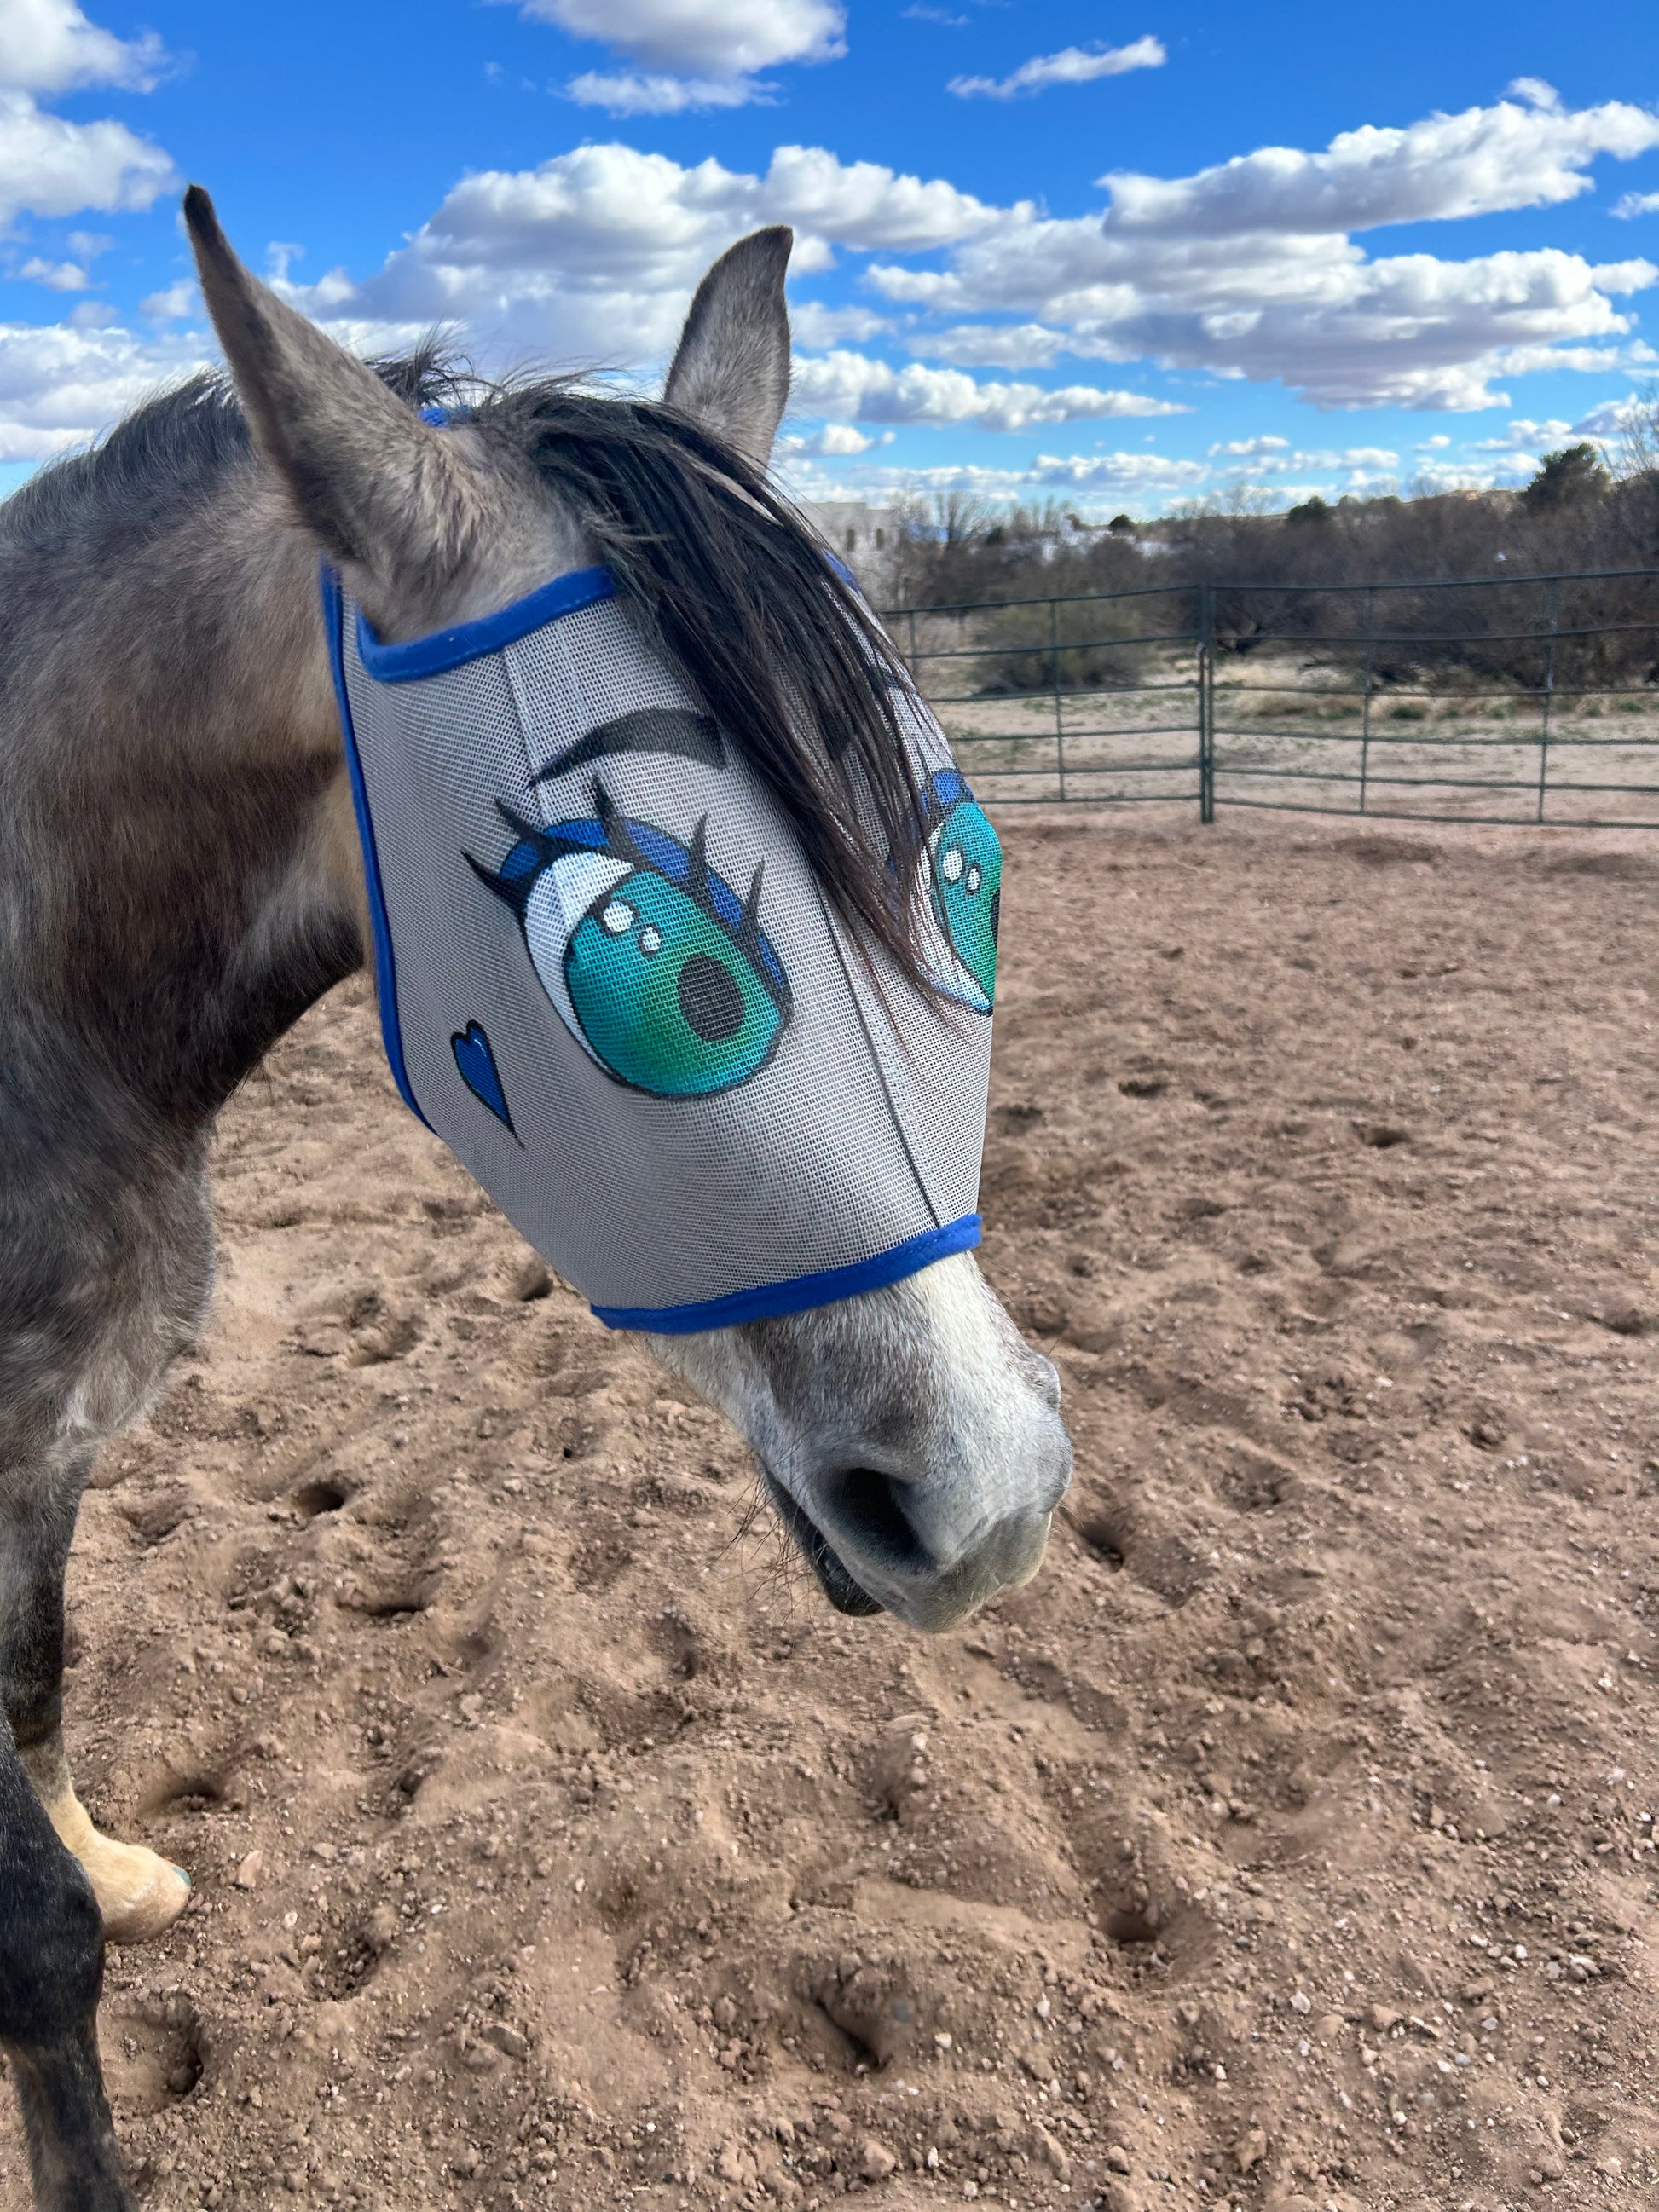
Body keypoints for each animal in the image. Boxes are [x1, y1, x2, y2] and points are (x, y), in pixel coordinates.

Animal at [0, 194, 1079, 2212]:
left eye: (960, 867)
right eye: (650, 976)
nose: (989, 1499)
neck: (44, 1029)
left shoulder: (45, 1460)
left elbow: (33, 1696)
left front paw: (110, 1858)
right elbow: (36, 1940)